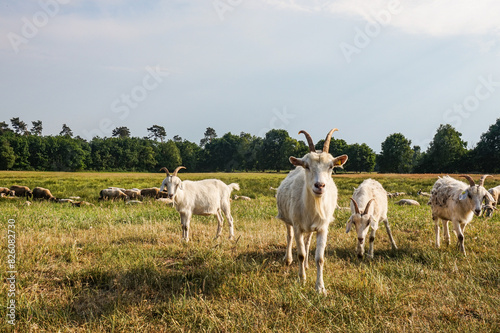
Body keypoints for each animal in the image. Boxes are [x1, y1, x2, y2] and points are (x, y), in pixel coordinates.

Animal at [276, 127, 350, 294]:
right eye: (307, 166)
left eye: (331, 167)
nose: (320, 185)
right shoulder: (297, 226)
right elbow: (301, 254)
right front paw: (301, 279)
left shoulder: (322, 228)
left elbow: (319, 258)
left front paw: (320, 287)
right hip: (288, 219)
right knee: (289, 236)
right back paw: (288, 259)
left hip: (310, 228)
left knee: (307, 241)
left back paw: (307, 266)